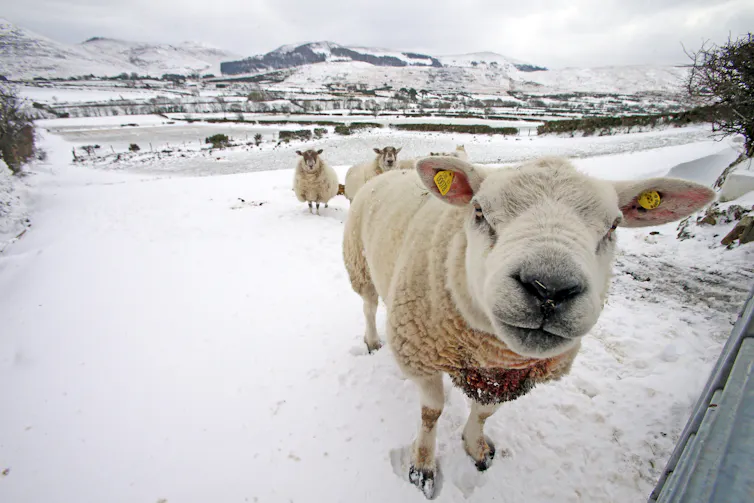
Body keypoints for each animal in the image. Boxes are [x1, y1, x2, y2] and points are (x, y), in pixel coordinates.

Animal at [342, 155, 714, 498]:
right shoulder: (420, 354)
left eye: (614, 227)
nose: (549, 290)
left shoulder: (512, 375)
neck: (490, 354)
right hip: (359, 263)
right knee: (369, 305)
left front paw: (476, 447)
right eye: (479, 210)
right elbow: (432, 413)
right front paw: (422, 467)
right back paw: (372, 340)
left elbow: (485, 412)